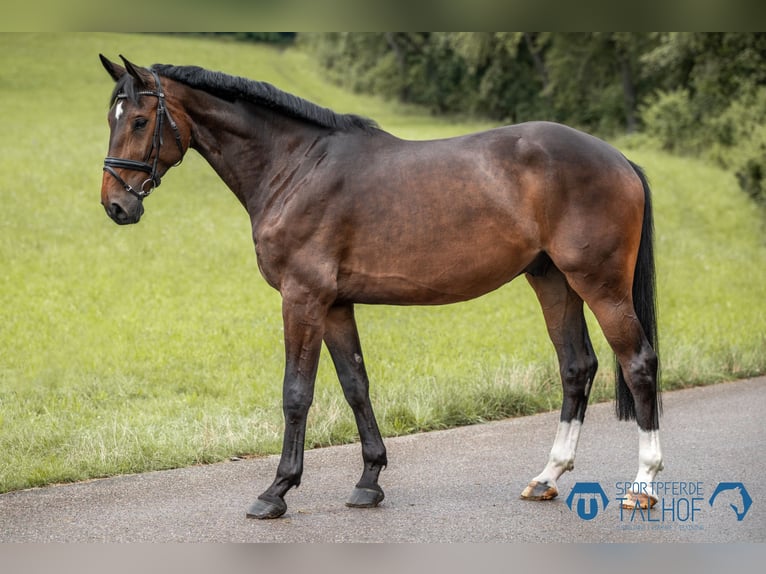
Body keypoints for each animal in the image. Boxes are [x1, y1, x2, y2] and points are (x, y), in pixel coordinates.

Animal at [100, 55, 664, 520]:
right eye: (113, 118)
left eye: (140, 120)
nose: (115, 205)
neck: (296, 166)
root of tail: (619, 159)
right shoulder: (335, 305)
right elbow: (356, 385)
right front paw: (370, 480)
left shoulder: (302, 299)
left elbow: (296, 393)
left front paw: (277, 490)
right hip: (553, 280)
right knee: (576, 367)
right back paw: (548, 476)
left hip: (600, 284)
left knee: (638, 363)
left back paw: (644, 484)